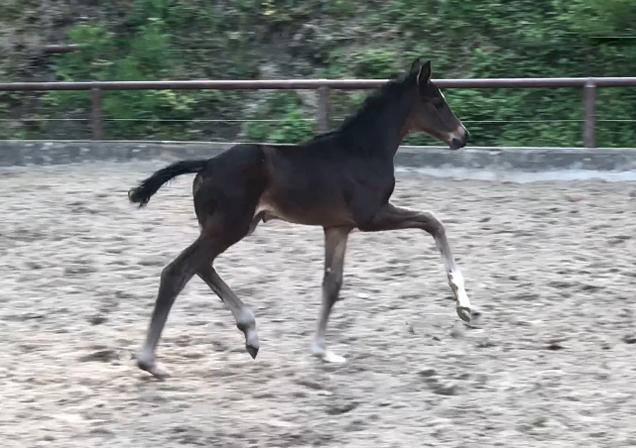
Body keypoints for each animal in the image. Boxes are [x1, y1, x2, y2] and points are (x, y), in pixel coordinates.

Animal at [126, 62, 470, 378]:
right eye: (437, 102)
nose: (462, 136)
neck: (364, 150)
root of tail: (207, 163)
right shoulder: (371, 216)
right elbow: (433, 221)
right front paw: (464, 305)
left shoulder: (338, 226)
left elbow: (332, 284)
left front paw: (321, 351)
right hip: (229, 227)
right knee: (178, 271)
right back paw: (150, 362)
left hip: (225, 227)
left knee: (201, 266)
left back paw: (250, 333)